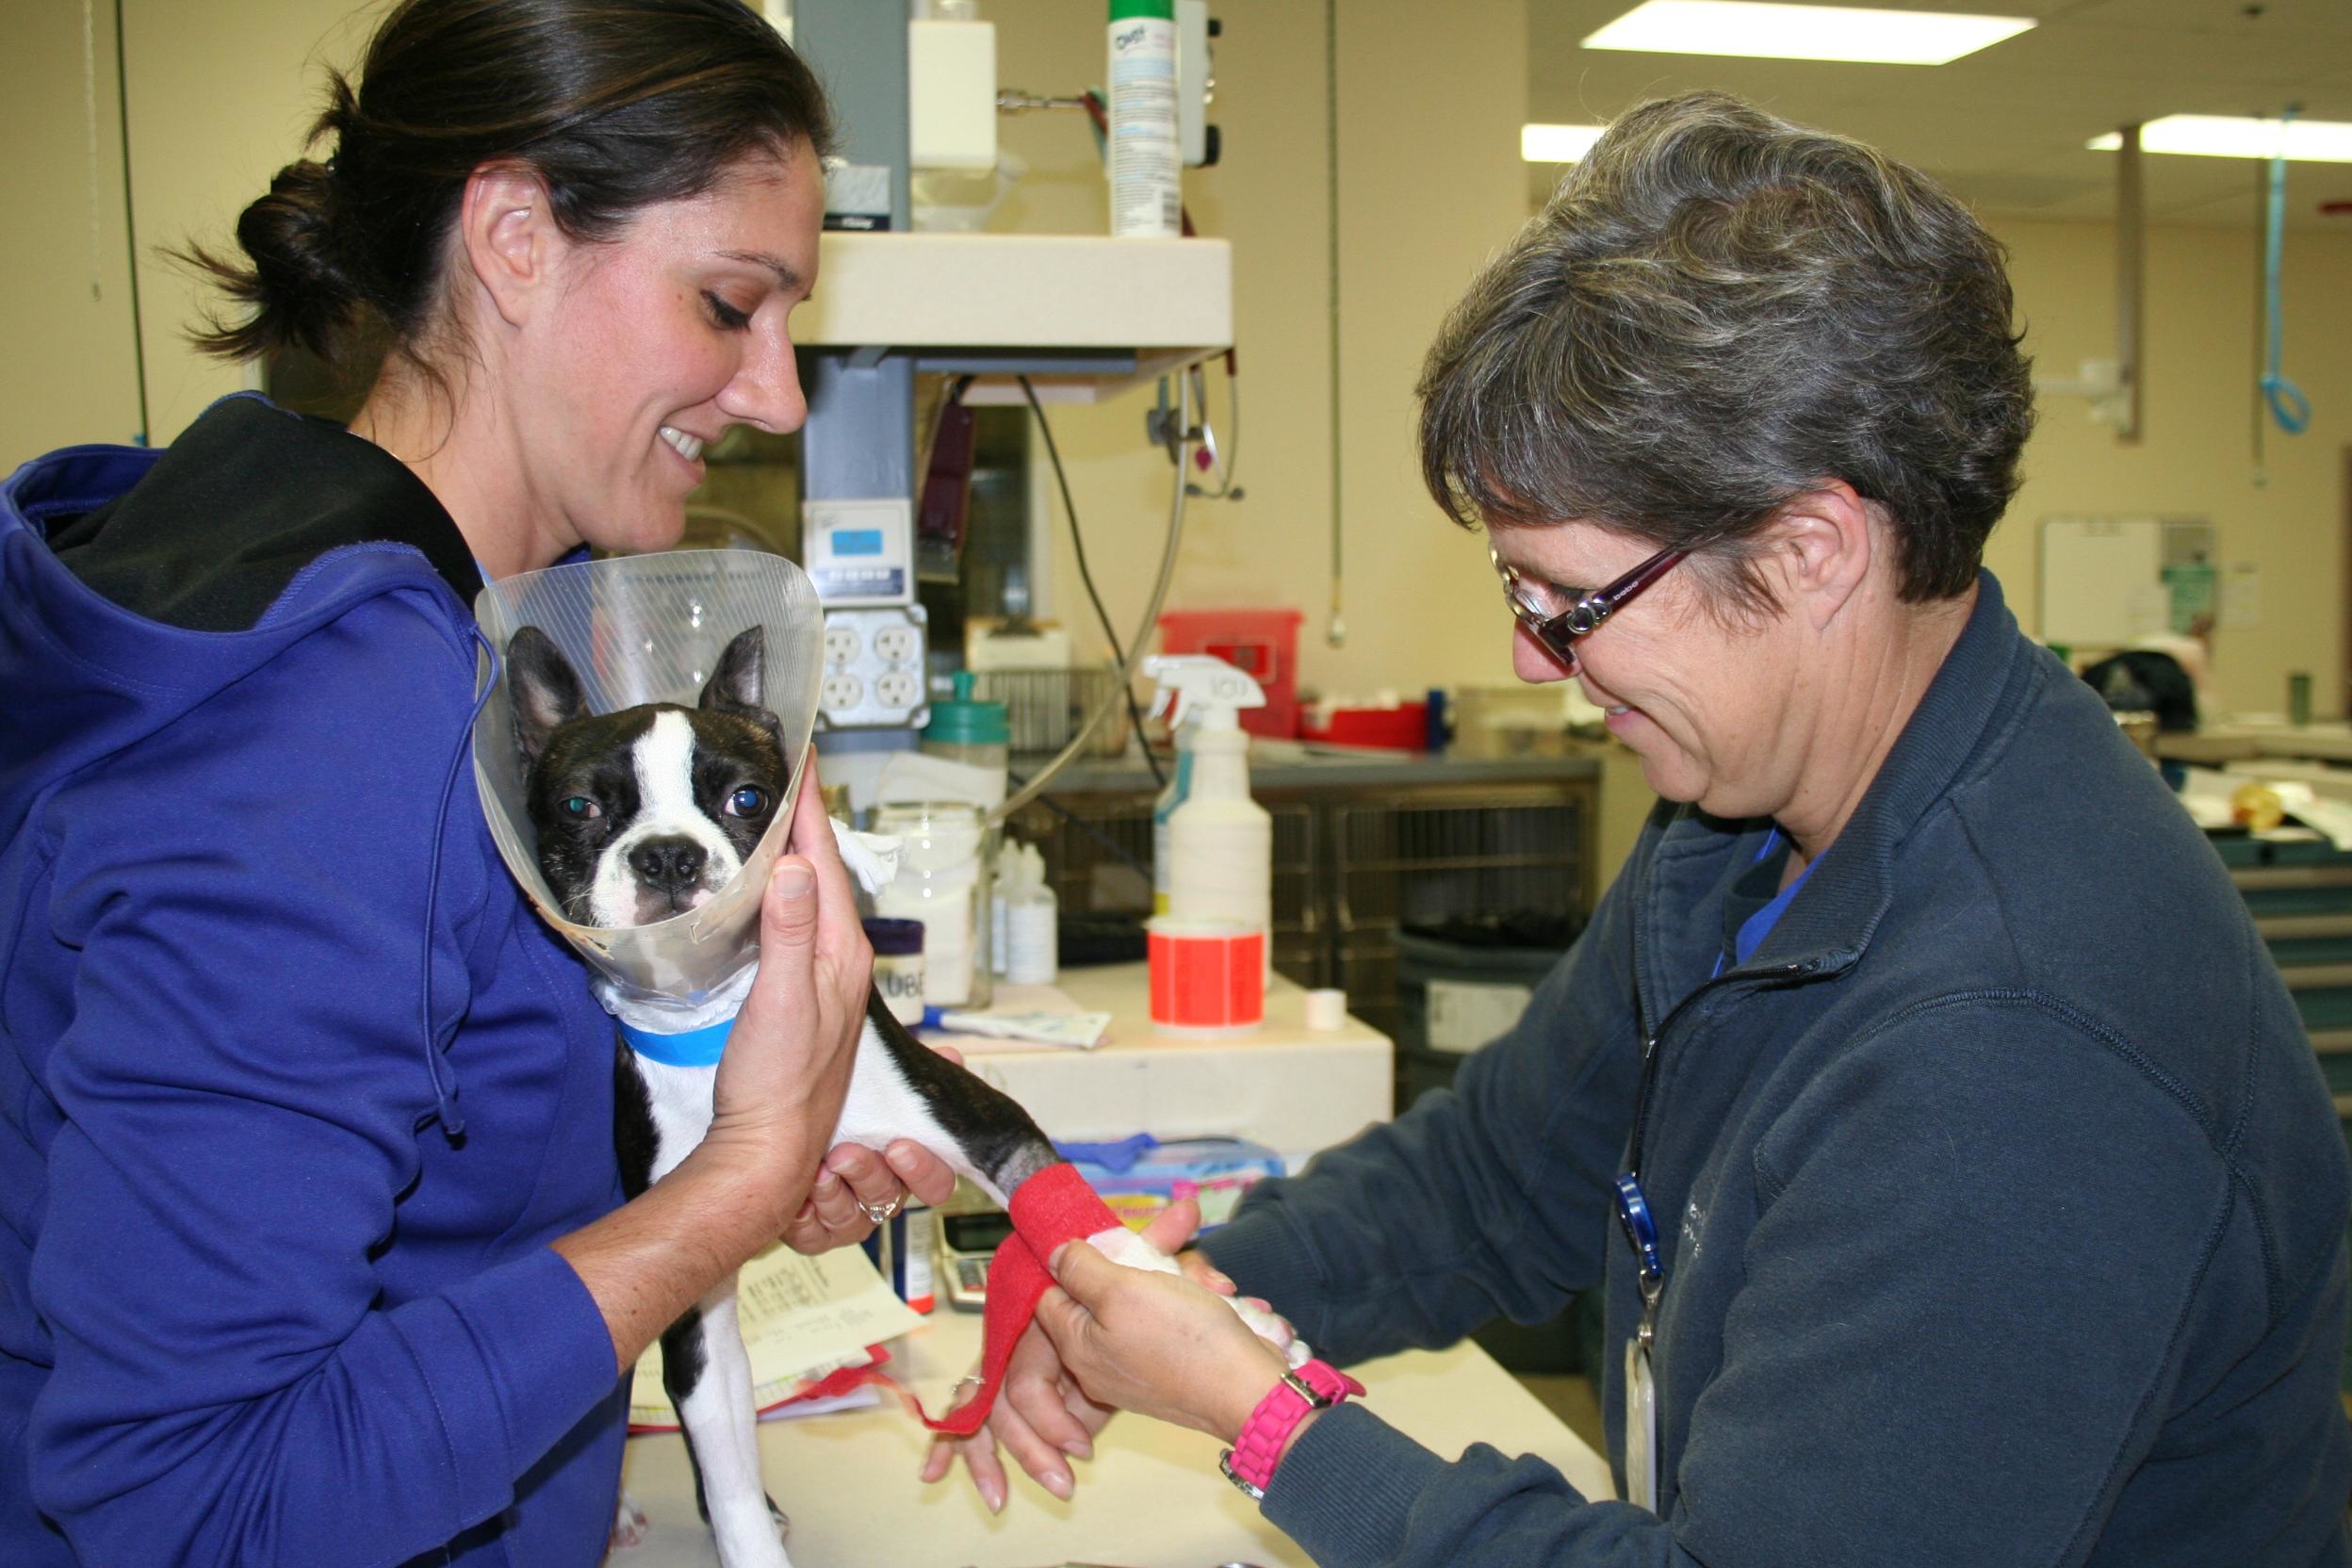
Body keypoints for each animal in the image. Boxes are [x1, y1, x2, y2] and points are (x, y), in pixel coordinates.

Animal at [505, 625, 1298, 1568]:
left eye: (747, 798)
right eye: (583, 809)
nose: (668, 853)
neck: (716, 1025)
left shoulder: (984, 1122)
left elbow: (1088, 1232)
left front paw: (1226, 1322)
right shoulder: (686, 1285)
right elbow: (724, 1462)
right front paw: (747, 1529)